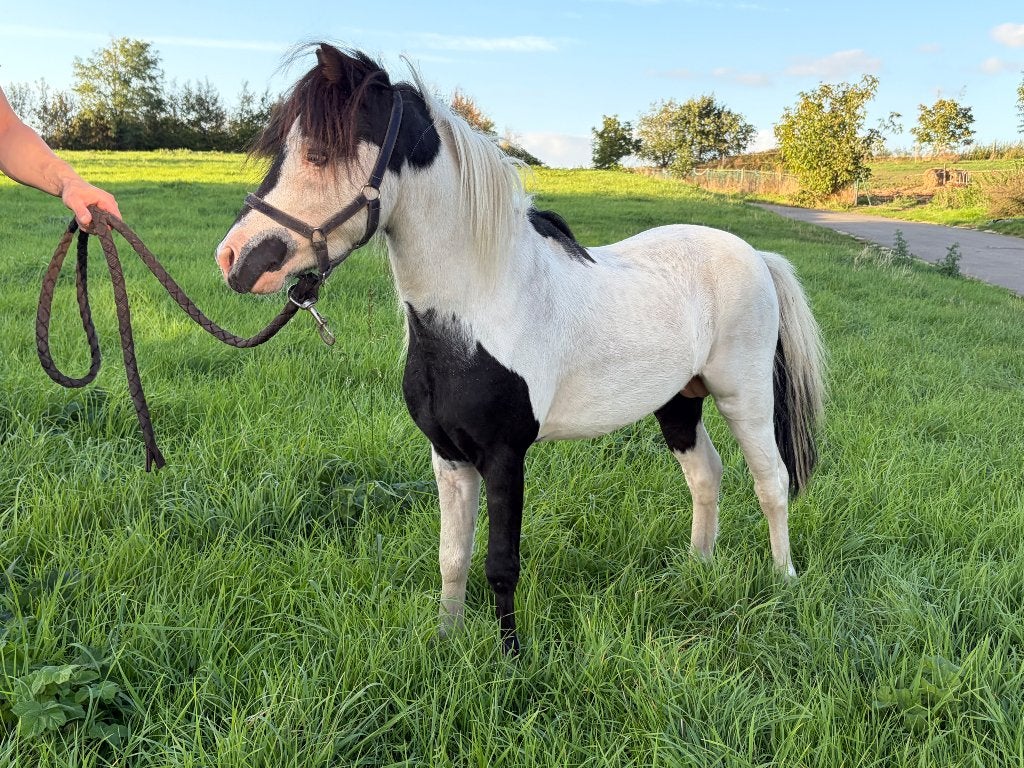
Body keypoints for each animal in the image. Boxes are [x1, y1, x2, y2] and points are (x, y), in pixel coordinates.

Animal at [215, 44, 826, 654]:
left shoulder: (506, 455)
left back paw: (784, 581)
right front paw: (447, 640)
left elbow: (501, 563)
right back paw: (697, 569)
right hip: (678, 402)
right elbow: (453, 557)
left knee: (771, 481)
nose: (234, 259)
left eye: (319, 154)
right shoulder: (448, 454)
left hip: (744, 397)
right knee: (706, 475)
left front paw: (510, 658)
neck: (482, 309)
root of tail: (755, 255)